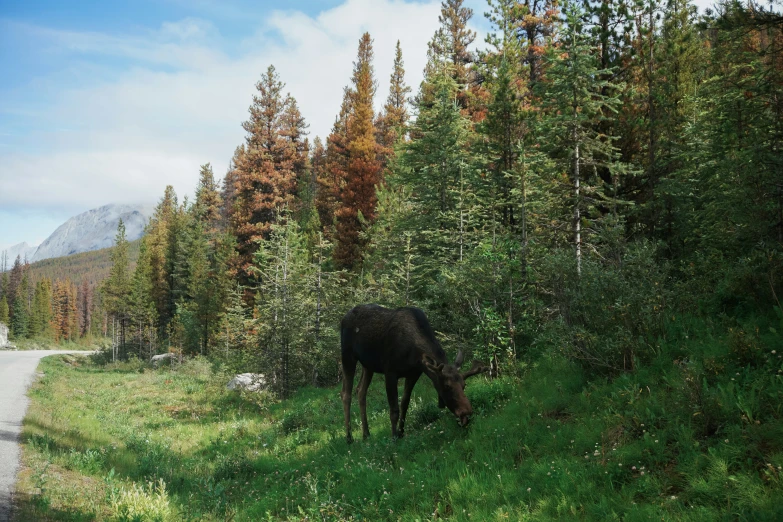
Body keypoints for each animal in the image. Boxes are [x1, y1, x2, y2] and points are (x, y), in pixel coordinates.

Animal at [340, 302, 486, 440]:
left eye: (464, 385)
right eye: (447, 386)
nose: (466, 413)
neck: (413, 354)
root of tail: (343, 318)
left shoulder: (413, 374)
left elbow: (405, 404)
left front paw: (401, 432)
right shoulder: (390, 372)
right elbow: (394, 410)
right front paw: (394, 437)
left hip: (368, 365)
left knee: (360, 390)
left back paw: (366, 434)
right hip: (347, 356)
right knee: (346, 394)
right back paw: (349, 437)